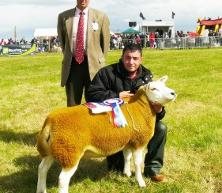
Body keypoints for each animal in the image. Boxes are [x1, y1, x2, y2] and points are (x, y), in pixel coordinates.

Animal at [36, 75, 175, 193]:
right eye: (154, 88)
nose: (173, 93)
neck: (140, 108)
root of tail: (50, 122)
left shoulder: (129, 140)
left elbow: (127, 156)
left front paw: (126, 173)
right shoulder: (139, 142)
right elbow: (137, 163)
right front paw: (140, 182)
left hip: (53, 150)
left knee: (42, 169)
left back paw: (41, 190)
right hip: (70, 152)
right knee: (63, 179)